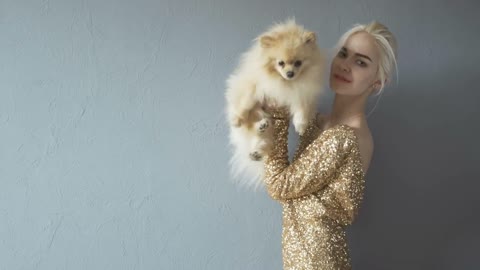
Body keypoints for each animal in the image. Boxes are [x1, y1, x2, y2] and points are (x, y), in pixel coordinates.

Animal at [226, 19, 324, 189]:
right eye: (281, 63)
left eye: (298, 63)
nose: (290, 73)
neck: (285, 83)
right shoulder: (254, 86)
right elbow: (246, 103)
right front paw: (237, 119)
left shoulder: (303, 93)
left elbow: (302, 110)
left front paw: (301, 126)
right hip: (258, 112)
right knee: (254, 127)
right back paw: (258, 128)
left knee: (264, 141)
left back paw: (257, 151)